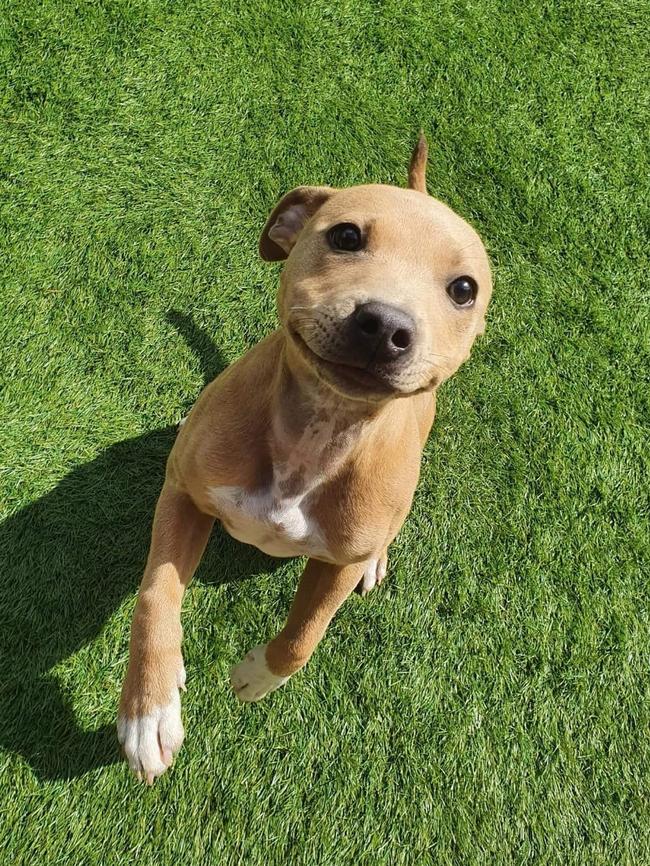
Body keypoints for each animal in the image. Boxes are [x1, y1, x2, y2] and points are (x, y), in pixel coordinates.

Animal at [117, 137, 492, 784]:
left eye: (463, 289)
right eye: (345, 235)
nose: (385, 325)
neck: (315, 431)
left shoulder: (334, 564)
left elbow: (303, 638)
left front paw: (255, 676)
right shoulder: (184, 493)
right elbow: (155, 596)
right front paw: (150, 708)